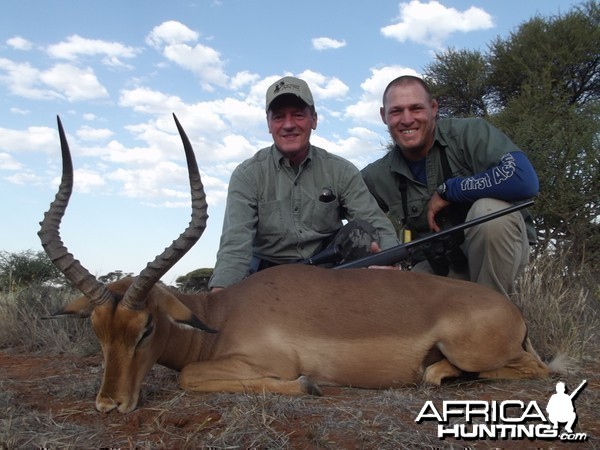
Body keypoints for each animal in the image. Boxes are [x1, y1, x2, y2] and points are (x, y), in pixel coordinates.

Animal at [39, 114, 552, 414]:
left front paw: (309, 386)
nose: (109, 404)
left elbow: (190, 376)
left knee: (538, 369)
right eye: (97, 331)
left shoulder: (265, 363)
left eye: (145, 328)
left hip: (474, 351)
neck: (221, 318)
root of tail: (512, 312)